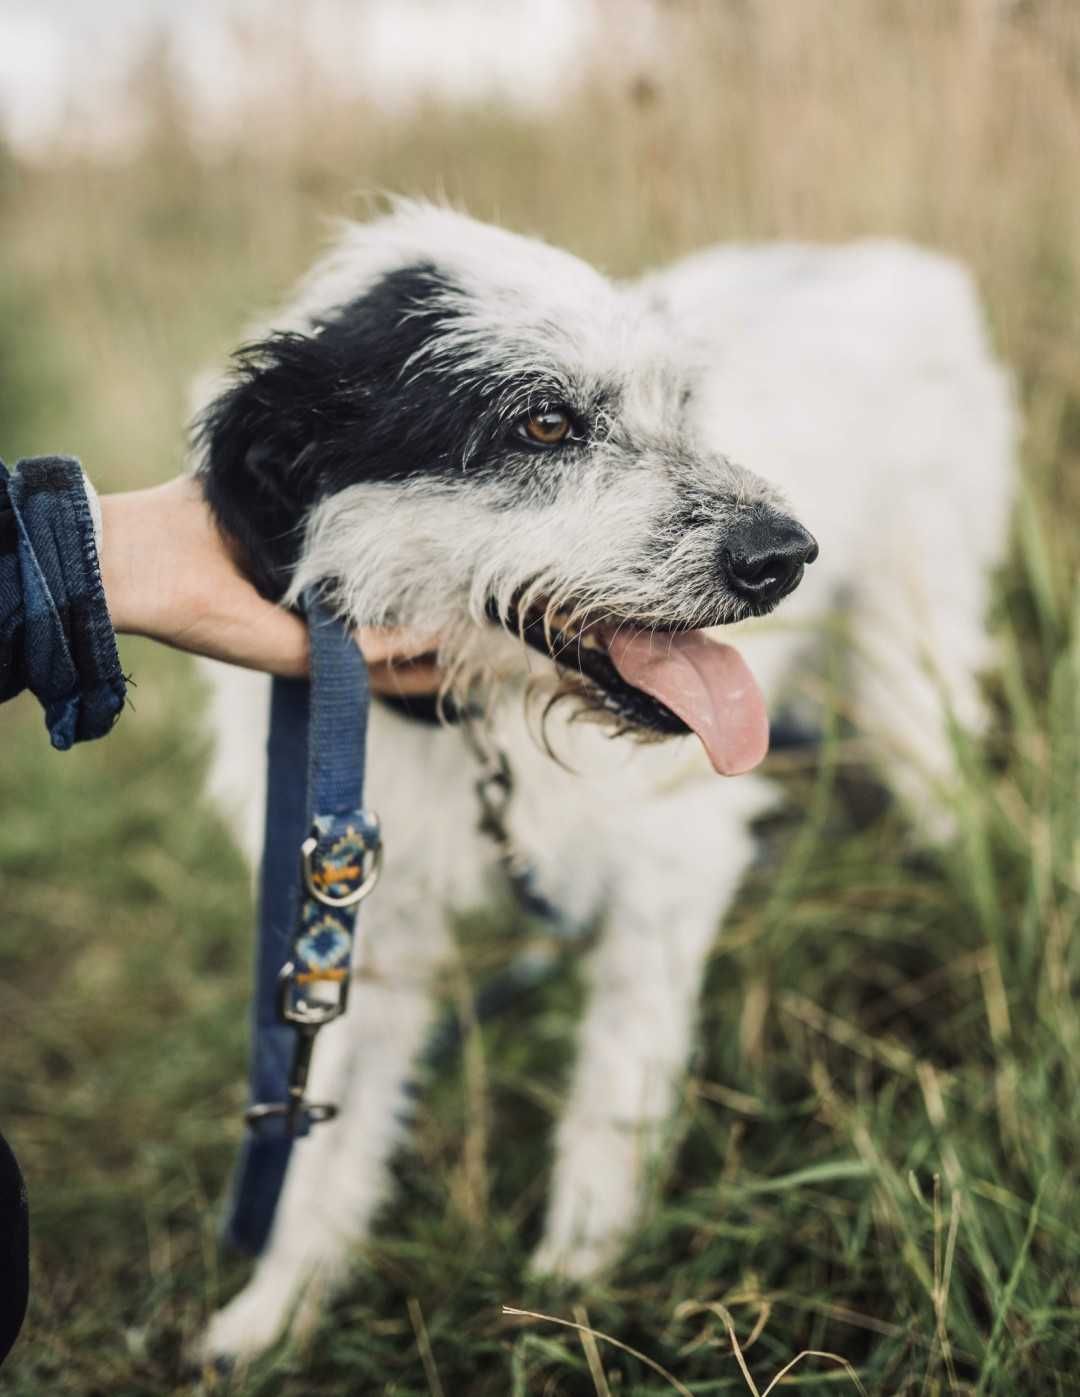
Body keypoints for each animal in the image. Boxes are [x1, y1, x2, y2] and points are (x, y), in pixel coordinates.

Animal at [191, 202, 1011, 1357]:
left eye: (683, 405)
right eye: (543, 424)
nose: (784, 555)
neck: (480, 723)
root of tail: (899, 260)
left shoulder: (670, 868)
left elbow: (616, 1079)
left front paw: (578, 1270)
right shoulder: (359, 915)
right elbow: (323, 1120)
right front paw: (277, 1307)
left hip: (912, 651)